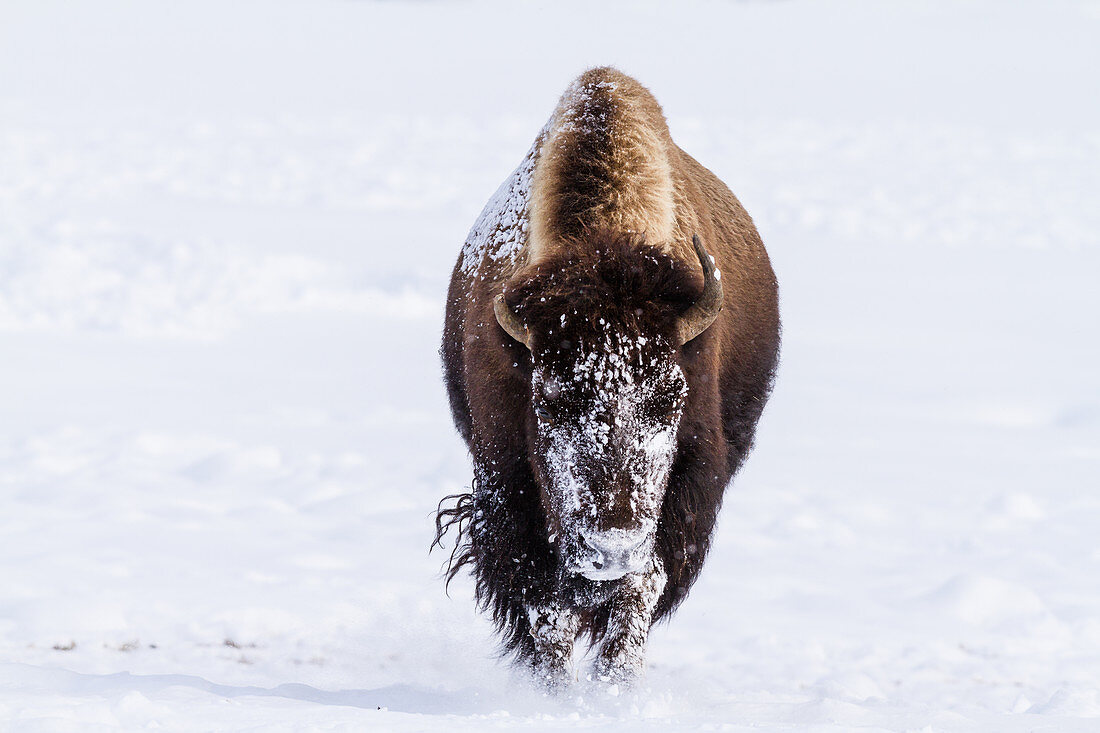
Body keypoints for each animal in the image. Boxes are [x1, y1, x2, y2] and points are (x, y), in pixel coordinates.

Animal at [433, 65, 778, 686]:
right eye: (551, 402)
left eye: (670, 397)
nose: (611, 547)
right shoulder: (506, 479)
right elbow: (544, 600)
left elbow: (641, 589)